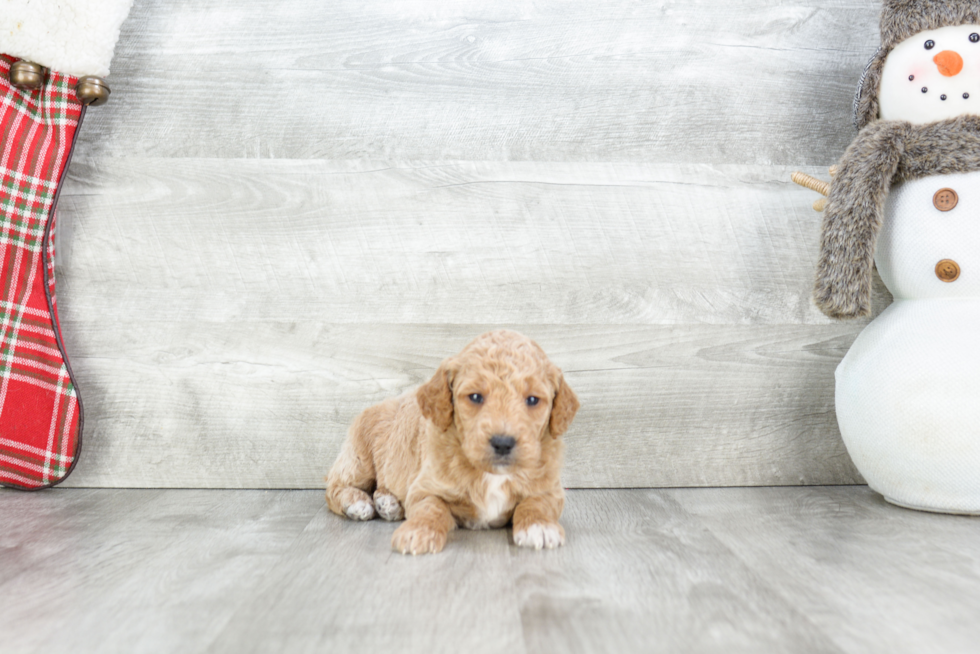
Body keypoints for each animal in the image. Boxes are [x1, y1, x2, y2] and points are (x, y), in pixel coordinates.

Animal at [326, 330, 580, 556]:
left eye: (533, 400)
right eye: (475, 397)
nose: (503, 443)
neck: (493, 474)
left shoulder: (551, 489)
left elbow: (537, 503)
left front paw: (539, 526)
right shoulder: (425, 487)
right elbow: (431, 507)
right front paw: (418, 531)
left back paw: (388, 503)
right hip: (359, 459)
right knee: (334, 486)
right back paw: (358, 503)